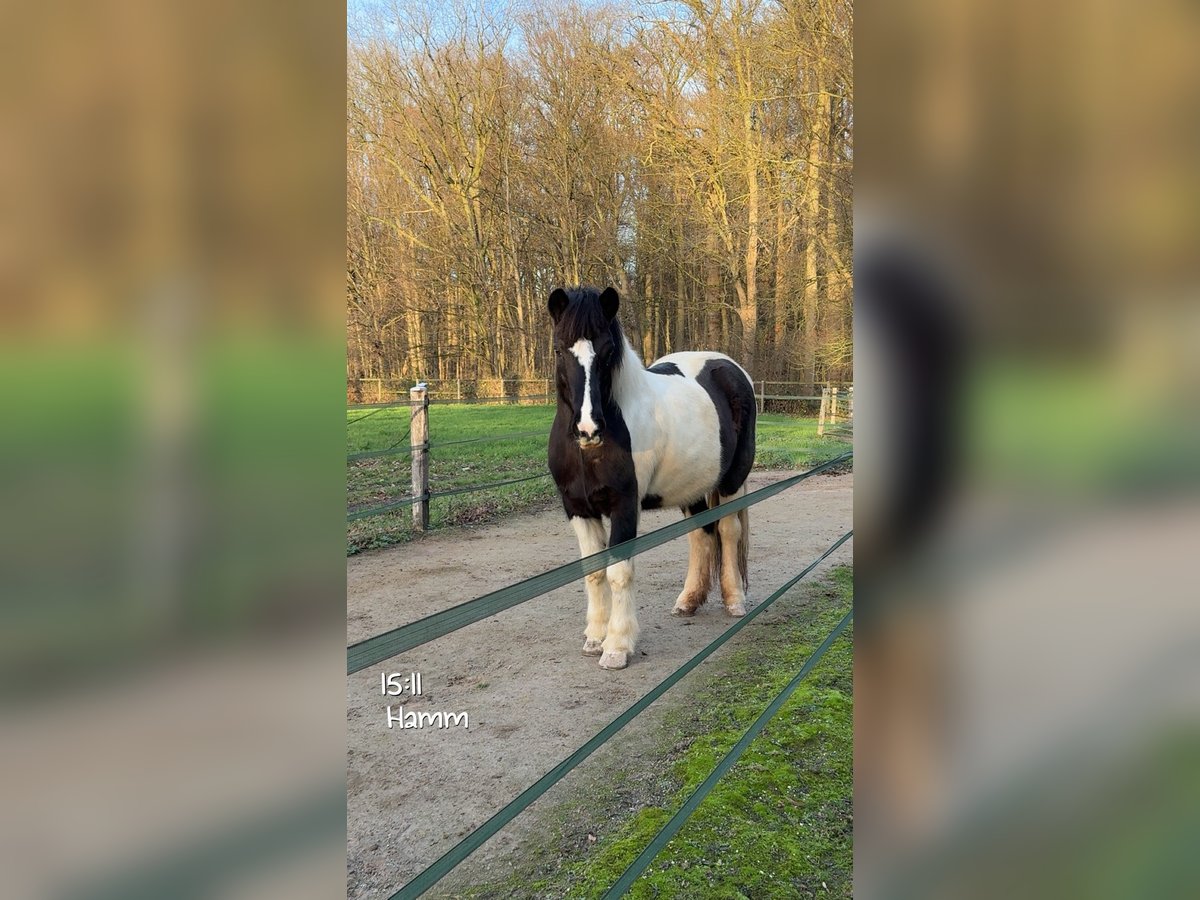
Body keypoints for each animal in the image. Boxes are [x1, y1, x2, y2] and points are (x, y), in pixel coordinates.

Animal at [546, 285, 757, 670]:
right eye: (558, 348)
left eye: (608, 351)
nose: (588, 429)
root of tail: (729, 368)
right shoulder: (577, 508)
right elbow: (593, 572)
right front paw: (594, 639)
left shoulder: (624, 506)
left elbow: (618, 572)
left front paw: (616, 647)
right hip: (693, 487)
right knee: (701, 535)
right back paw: (688, 601)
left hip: (731, 481)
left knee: (727, 531)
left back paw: (735, 601)